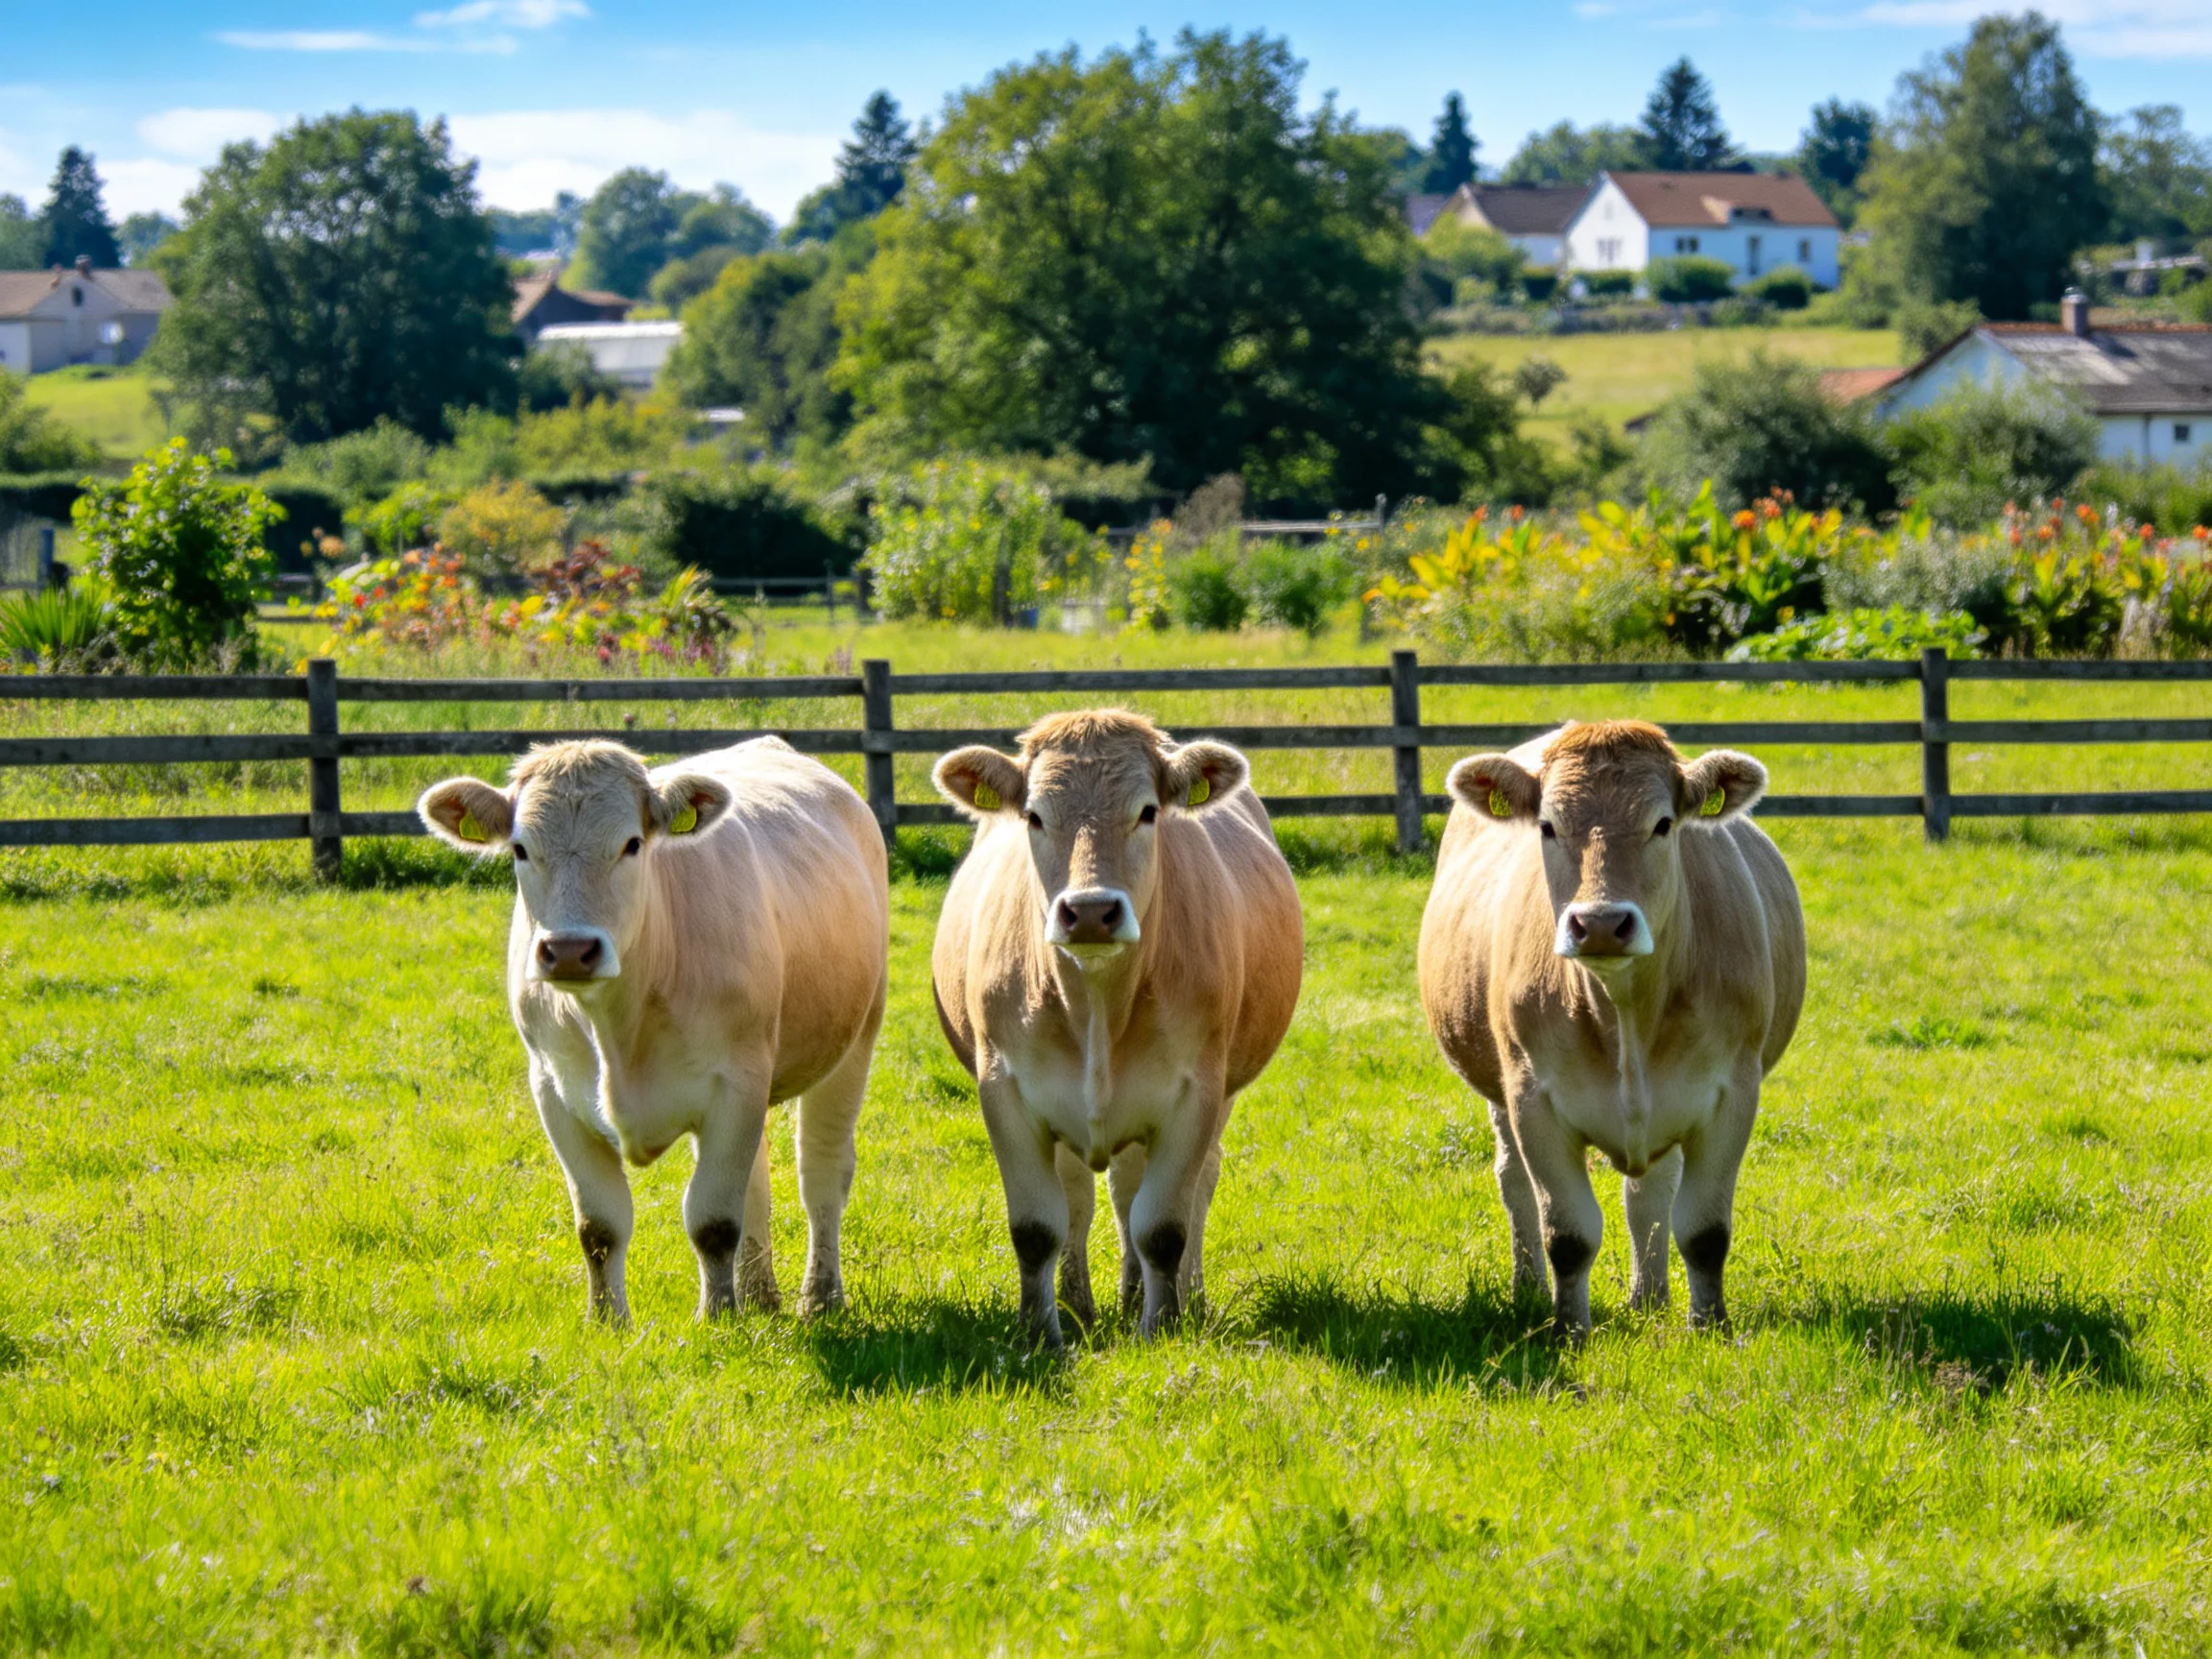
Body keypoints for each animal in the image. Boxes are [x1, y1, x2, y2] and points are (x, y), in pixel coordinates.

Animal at [416, 737, 888, 1325]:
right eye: (521, 849)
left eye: (632, 844)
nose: (569, 949)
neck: (618, 1028)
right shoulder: (552, 1089)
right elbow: (599, 1226)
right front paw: (607, 1321)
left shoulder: (736, 1084)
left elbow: (713, 1221)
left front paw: (718, 1318)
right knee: (757, 1177)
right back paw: (759, 1293)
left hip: (856, 1039)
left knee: (821, 1173)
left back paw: (820, 1296)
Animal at [930, 711, 1302, 1346]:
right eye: (1034, 815)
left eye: (1148, 811)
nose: (1089, 912)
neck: (1098, 1005)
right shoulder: (1003, 1089)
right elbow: (1038, 1227)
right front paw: (1041, 1334)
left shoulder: (1195, 1092)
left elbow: (1163, 1227)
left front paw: (1162, 1326)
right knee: (1087, 1196)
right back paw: (1083, 1304)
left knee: (1180, 1188)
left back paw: (1171, 1297)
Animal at [1418, 720, 1804, 1338]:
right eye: (1547, 826)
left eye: (1664, 824)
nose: (1600, 923)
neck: (1624, 1009)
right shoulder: (1533, 1098)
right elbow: (1568, 1234)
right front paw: (1569, 1331)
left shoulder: (1733, 1094)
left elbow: (1704, 1231)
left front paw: (1708, 1328)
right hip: (1500, 1092)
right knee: (1515, 1183)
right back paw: (1529, 1291)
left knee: (1650, 1194)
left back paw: (1650, 1300)